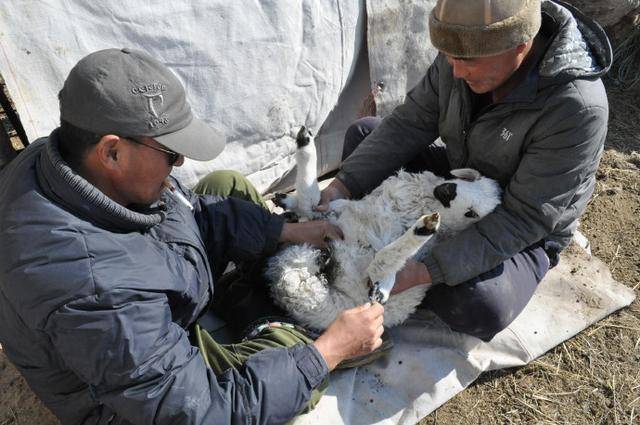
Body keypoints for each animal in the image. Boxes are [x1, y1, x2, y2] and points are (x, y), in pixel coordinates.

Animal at [266, 127, 504, 330]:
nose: (446, 191)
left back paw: (423, 229)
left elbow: (382, 260)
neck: (425, 203)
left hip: (354, 268)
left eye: (472, 213)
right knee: (310, 204)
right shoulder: (340, 211)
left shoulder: (371, 266)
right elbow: (314, 202)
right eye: (471, 179)